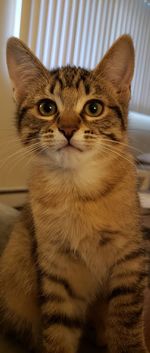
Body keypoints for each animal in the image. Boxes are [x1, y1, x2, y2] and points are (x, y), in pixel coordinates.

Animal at [0, 35, 148, 352]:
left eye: (94, 108)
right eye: (46, 107)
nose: (67, 129)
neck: (77, 190)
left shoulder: (130, 260)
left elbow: (127, 319)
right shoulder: (57, 271)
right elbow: (58, 331)